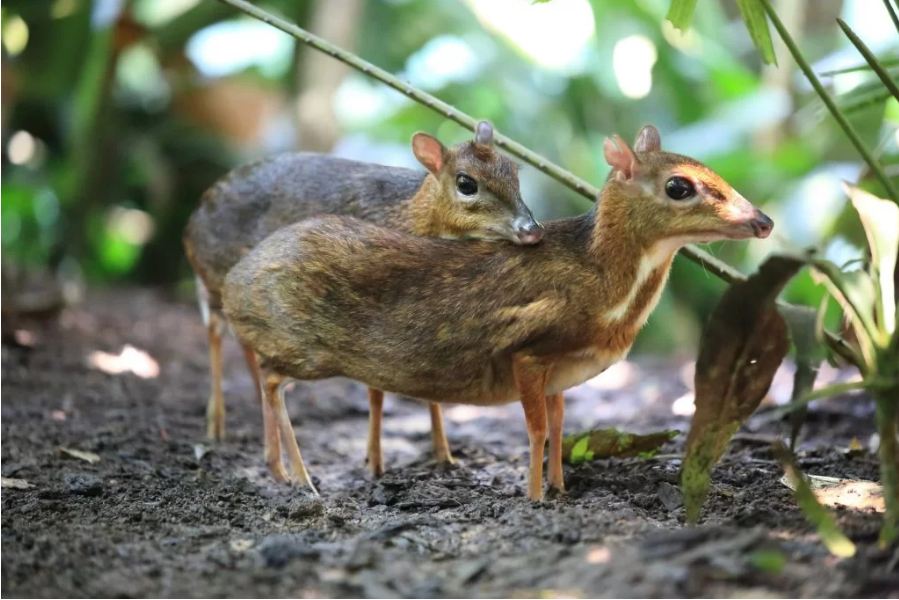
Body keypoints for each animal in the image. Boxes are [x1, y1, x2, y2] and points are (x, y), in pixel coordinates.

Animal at [181, 122, 540, 478]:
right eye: (466, 183)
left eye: (514, 170)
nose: (531, 229)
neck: (410, 215)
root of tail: (192, 221)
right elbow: (376, 391)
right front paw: (375, 463)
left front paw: (444, 457)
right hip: (220, 282)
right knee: (216, 331)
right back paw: (219, 428)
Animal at [223, 125, 772, 496]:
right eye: (679, 186)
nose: (764, 220)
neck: (606, 288)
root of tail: (234, 282)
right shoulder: (527, 351)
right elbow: (535, 428)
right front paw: (534, 496)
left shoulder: (560, 369)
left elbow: (559, 424)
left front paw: (560, 488)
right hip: (304, 350)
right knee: (269, 379)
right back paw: (300, 479)